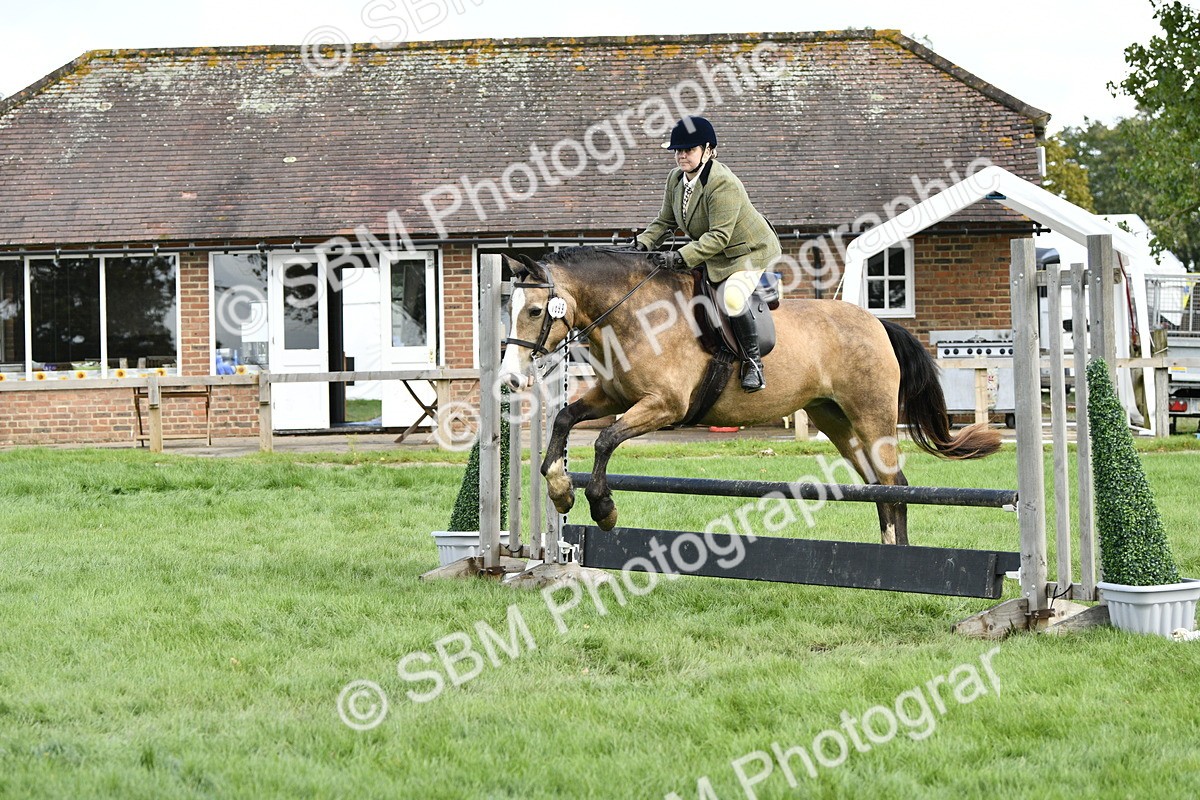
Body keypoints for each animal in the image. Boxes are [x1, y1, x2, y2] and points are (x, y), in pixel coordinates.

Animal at [497, 246, 1001, 545]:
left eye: (536, 311)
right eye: (509, 308)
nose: (510, 379)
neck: (636, 315)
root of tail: (877, 322)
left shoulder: (664, 406)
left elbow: (604, 441)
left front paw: (603, 508)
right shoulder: (614, 398)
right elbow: (565, 419)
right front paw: (560, 490)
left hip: (872, 417)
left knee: (896, 486)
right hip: (836, 421)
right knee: (879, 486)